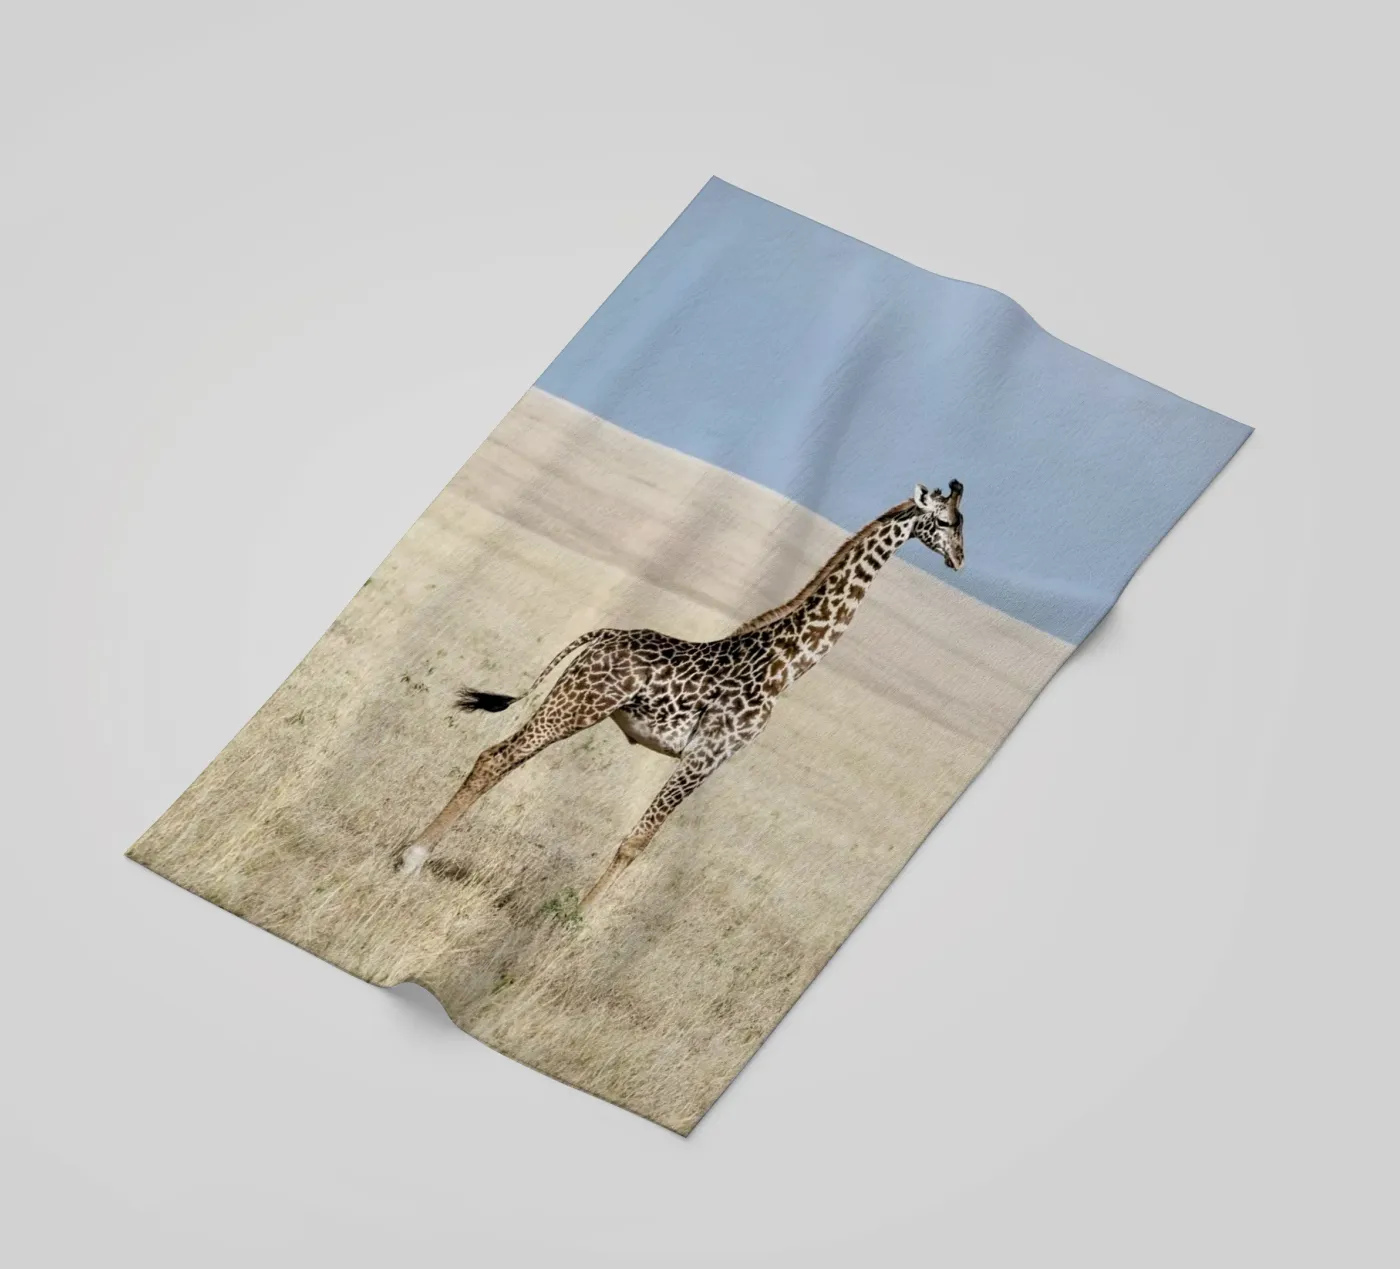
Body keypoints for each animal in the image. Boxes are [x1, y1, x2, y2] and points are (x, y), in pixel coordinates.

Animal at [396, 481, 966, 904]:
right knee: (495, 758)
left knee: (502, 759)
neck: (787, 666)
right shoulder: (707, 754)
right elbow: (637, 842)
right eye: (945, 522)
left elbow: (640, 841)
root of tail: (605, 634)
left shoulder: (712, 759)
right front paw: (572, 925)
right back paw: (410, 858)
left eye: (961, 525)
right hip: (578, 705)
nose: (960, 560)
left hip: (572, 704)